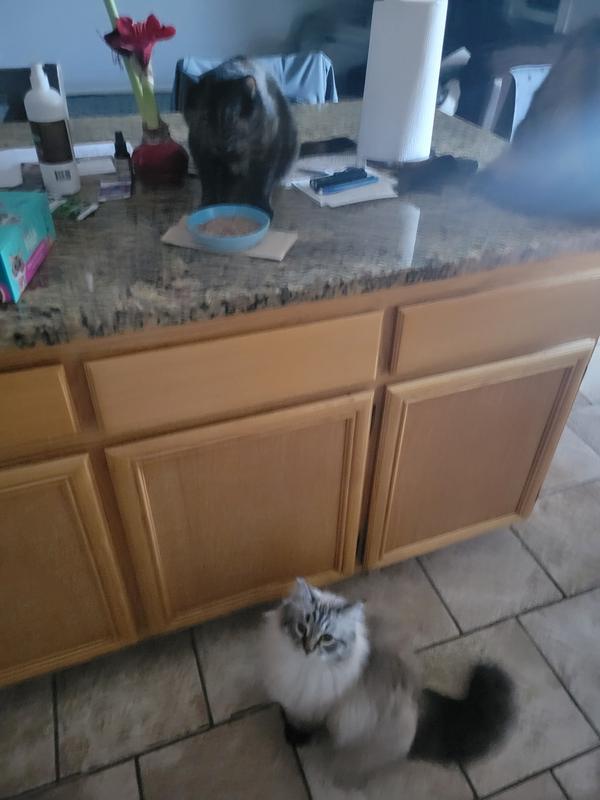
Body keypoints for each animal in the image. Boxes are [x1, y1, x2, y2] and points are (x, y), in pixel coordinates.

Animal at [183, 57, 298, 218]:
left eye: (231, 117)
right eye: (204, 117)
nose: (219, 142)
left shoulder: (268, 151)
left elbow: (263, 182)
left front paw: (262, 206)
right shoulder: (201, 151)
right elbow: (209, 183)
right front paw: (208, 204)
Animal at [261, 578, 514, 784]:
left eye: (326, 639)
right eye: (301, 628)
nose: (307, 648)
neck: (302, 667)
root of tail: (418, 699)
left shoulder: (319, 707)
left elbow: (305, 725)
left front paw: (296, 738)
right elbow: (291, 713)